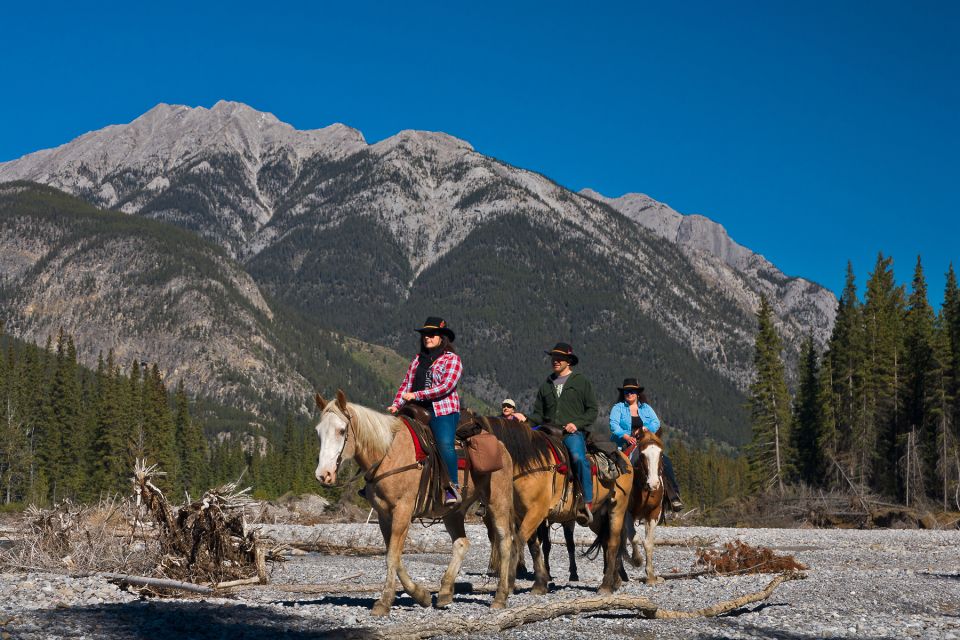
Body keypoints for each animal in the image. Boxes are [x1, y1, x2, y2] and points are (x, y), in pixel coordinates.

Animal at [316, 390, 516, 616]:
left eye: (342, 431)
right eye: (318, 432)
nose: (323, 475)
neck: (388, 453)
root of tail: (502, 447)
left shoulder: (402, 511)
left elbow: (392, 557)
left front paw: (383, 602)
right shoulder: (384, 515)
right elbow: (394, 556)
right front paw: (421, 595)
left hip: (498, 502)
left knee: (505, 541)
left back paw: (500, 597)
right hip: (454, 511)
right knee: (461, 543)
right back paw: (445, 592)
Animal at [480, 420, 632, 596]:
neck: (531, 464)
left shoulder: (536, 513)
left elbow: (519, 541)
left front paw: (509, 583)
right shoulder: (525, 515)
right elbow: (534, 546)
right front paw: (540, 584)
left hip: (617, 508)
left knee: (613, 542)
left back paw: (606, 585)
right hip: (597, 516)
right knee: (606, 541)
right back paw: (615, 580)